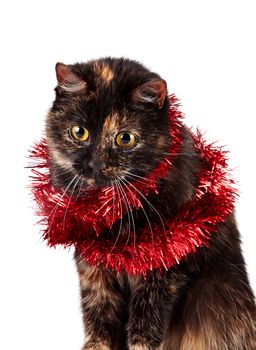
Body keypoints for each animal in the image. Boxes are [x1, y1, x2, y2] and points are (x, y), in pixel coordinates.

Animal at [45, 57, 255, 350]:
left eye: (125, 138)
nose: (94, 164)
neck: (116, 215)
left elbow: (145, 325)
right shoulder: (93, 270)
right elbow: (98, 321)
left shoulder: (165, 267)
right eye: (79, 132)